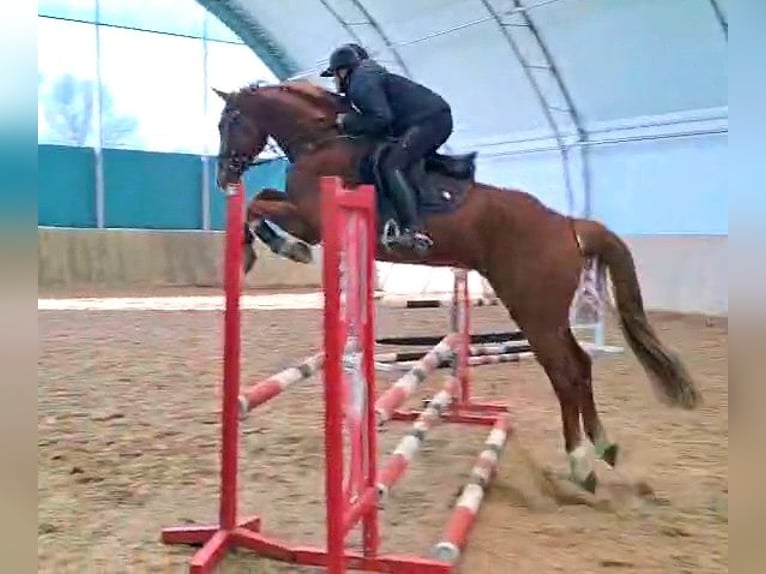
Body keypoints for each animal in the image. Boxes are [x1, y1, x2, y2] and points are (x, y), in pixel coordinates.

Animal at [211, 80, 701, 493]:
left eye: (229, 122)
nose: (223, 177)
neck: (324, 140)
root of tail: (567, 224)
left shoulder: (313, 221)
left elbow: (260, 206)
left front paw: (277, 247)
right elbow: (263, 201)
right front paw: (261, 246)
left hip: (533, 310)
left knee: (564, 373)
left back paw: (581, 464)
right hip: (545, 312)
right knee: (580, 366)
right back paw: (603, 447)